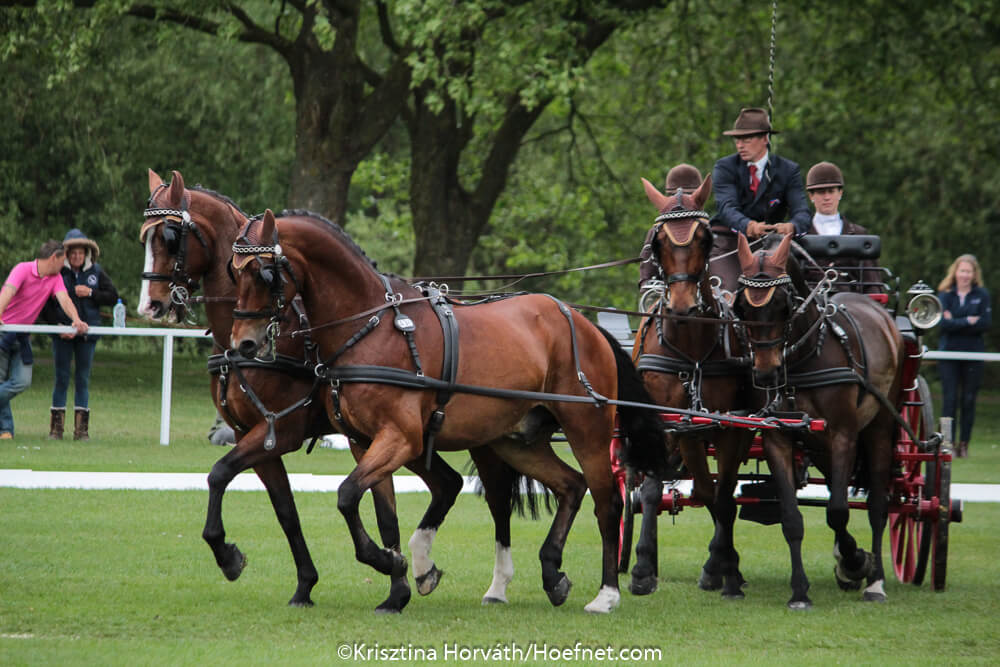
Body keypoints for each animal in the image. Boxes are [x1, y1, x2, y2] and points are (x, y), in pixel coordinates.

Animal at [140, 171, 536, 612]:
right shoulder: (255, 435)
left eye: (169, 237)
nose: (151, 305)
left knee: (497, 499)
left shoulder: (282, 431)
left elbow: (220, 473)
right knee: (447, 485)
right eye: (144, 238)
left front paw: (229, 556)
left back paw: (495, 583)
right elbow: (283, 510)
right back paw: (421, 571)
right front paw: (305, 584)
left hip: (481, 436)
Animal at [229, 211, 672, 612]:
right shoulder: (364, 442)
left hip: (588, 431)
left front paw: (389, 562)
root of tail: (583, 323)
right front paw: (401, 576)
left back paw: (607, 593)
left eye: (264, 274)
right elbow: (375, 508)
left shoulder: (400, 438)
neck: (372, 326)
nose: (243, 344)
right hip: (515, 441)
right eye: (234, 275)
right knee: (571, 486)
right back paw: (551, 574)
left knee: (607, 504)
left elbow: (346, 495)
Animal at [628, 177, 752, 600]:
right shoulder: (674, 424)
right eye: (657, 242)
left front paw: (727, 570)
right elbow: (680, 489)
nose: (681, 305)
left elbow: (725, 495)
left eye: (705, 238)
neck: (692, 347)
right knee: (676, 486)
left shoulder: (730, 426)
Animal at [732, 232, 904, 608]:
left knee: (878, 505)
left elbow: (838, 511)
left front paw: (856, 562)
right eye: (742, 308)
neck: (805, 357)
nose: (765, 374)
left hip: (880, 427)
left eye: (783, 305)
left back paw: (876, 581)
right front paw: (800, 591)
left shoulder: (843, 434)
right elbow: (791, 517)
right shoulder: (777, 437)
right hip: (821, 447)